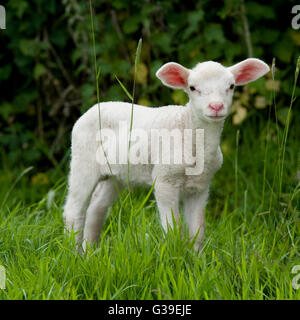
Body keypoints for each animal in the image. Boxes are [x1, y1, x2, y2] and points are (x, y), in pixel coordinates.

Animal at [63, 58, 270, 251]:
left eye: (231, 86)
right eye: (192, 87)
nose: (216, 107)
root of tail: (93, 108)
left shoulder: (201, 186)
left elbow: (198, 230)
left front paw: (196, 260)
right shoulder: (165, 180)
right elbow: (173, 229)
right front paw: (175, 256)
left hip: (116, 175)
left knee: (96, 208)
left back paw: (89, 252)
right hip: (83, 162)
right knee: (74, 210)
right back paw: (74, 253)